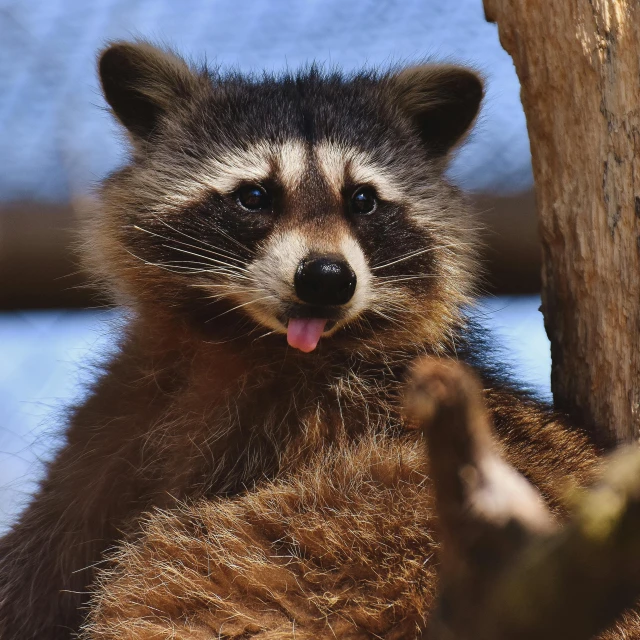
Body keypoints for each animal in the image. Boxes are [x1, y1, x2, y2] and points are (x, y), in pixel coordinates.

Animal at [0, 42, 608, 636]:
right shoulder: (124, 414)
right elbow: (42, 552)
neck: (245, 341)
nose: (327, 278)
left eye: (362, 200)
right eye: (254, 196)